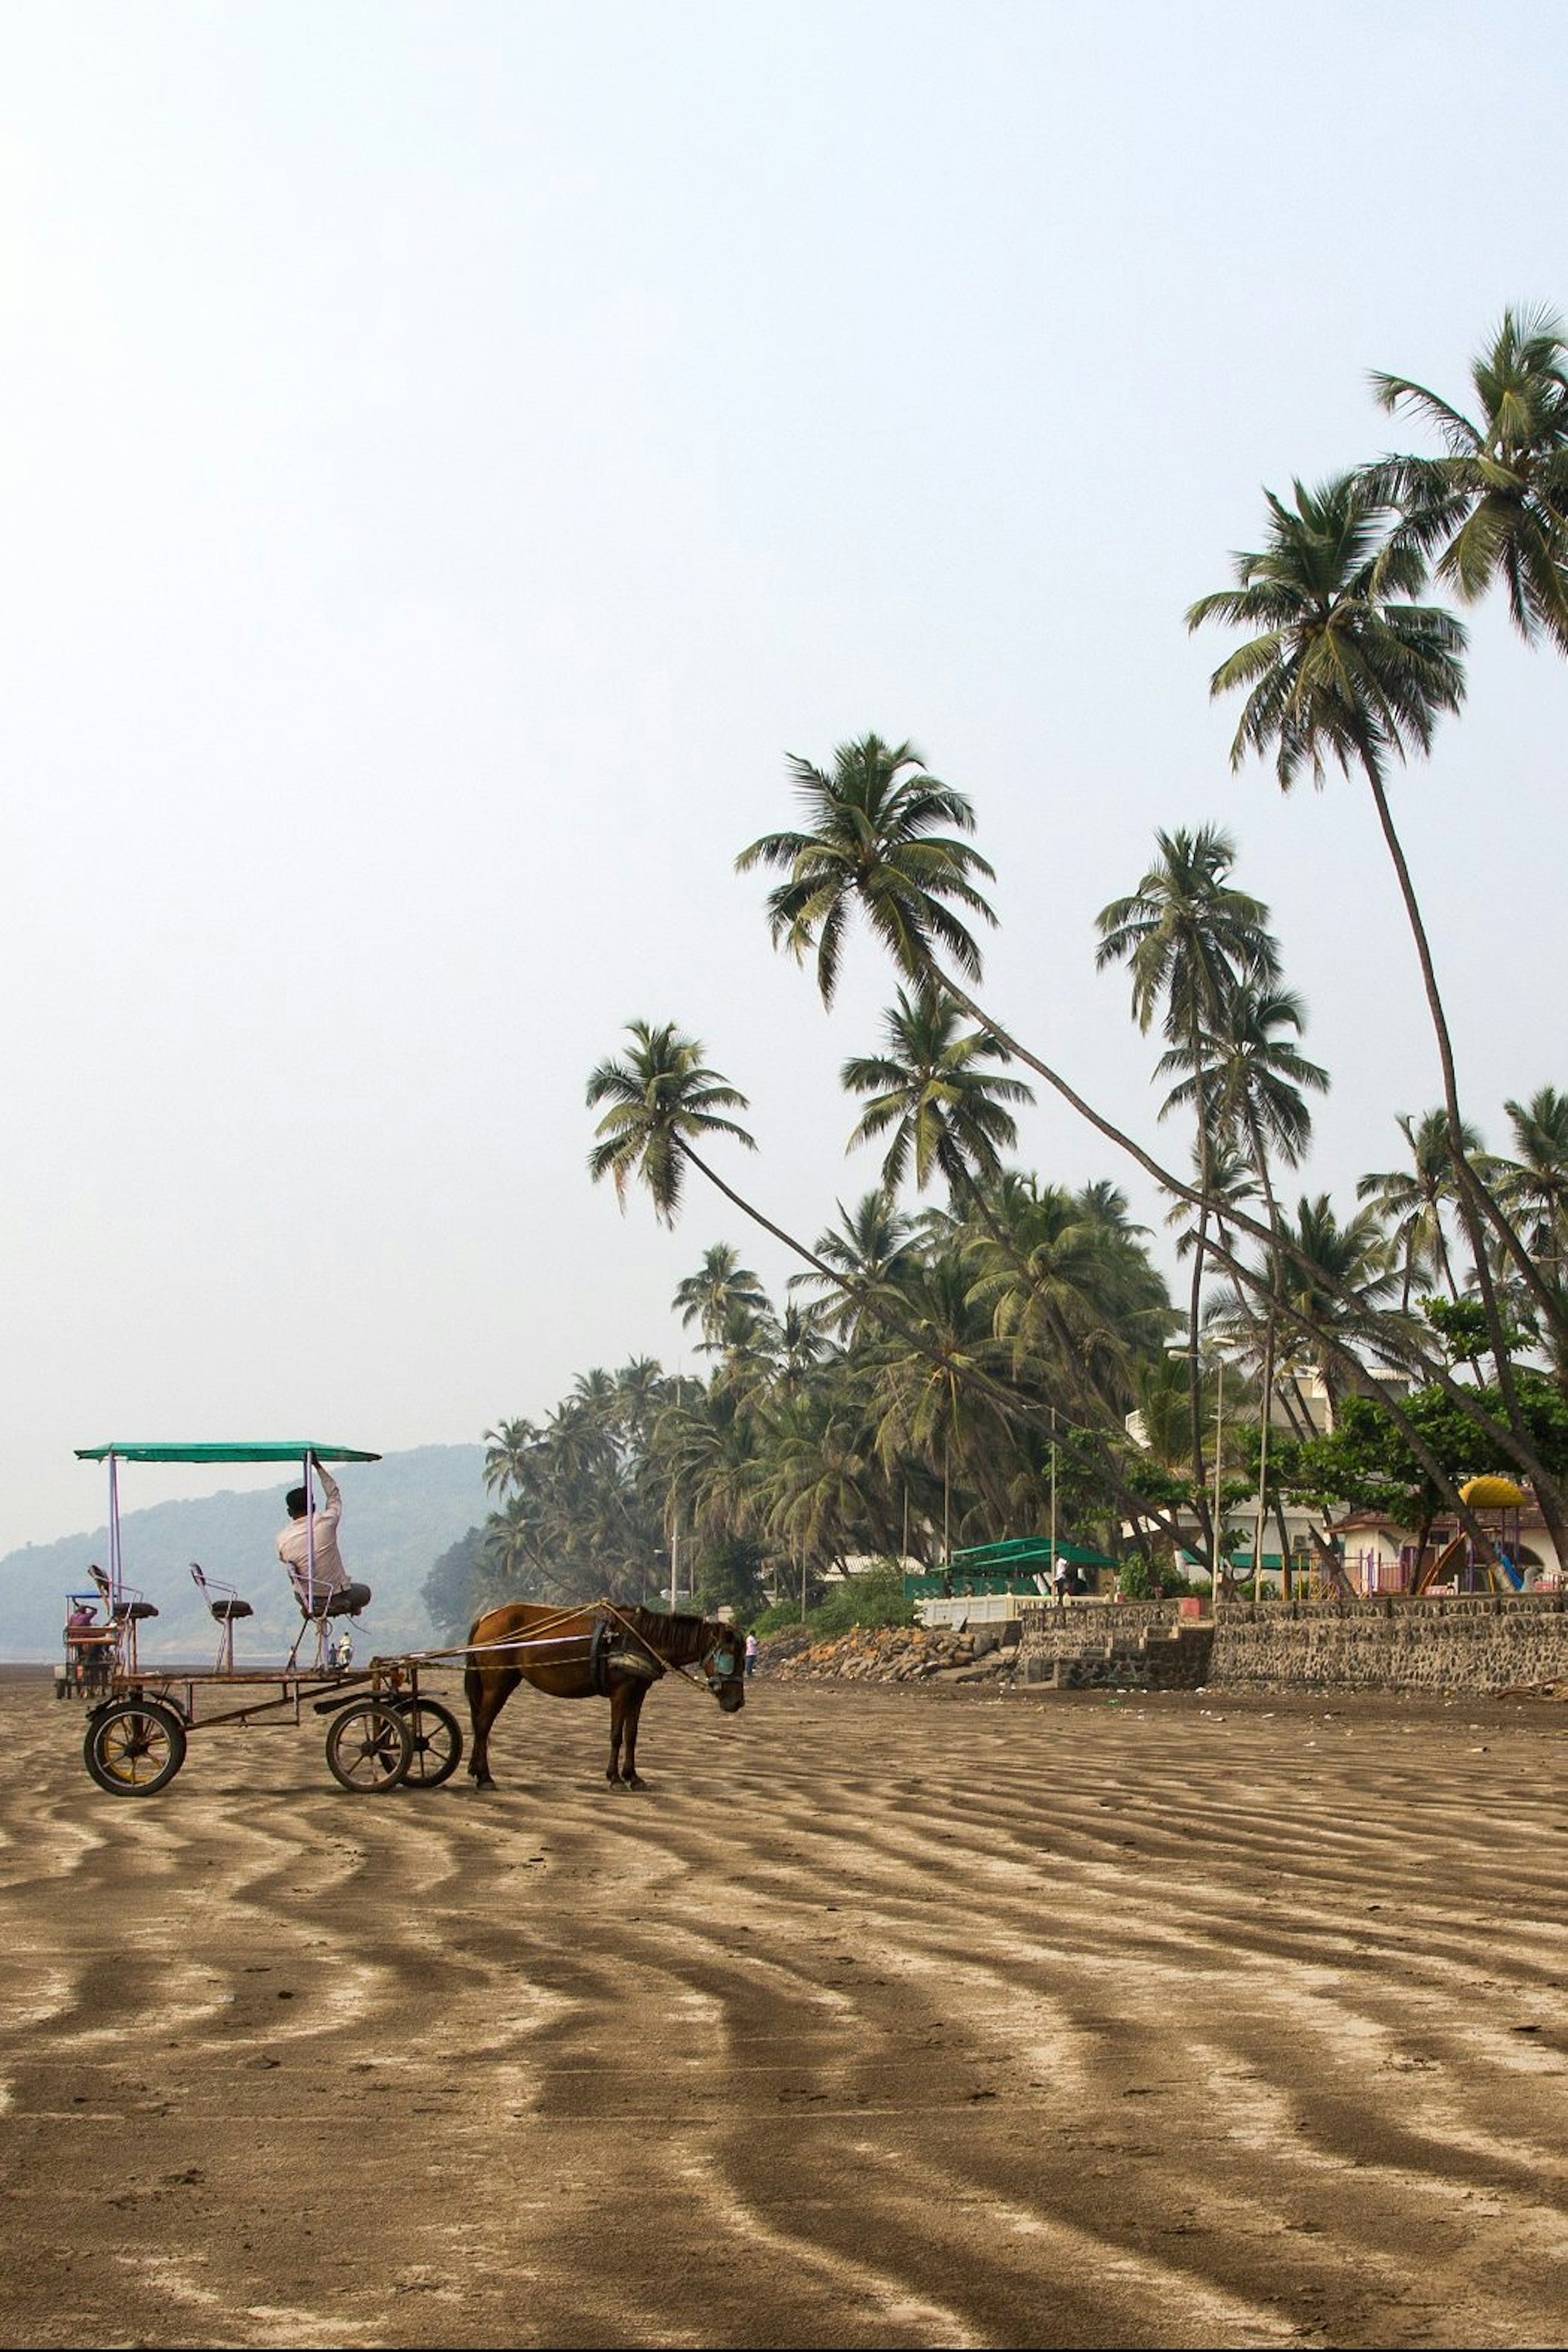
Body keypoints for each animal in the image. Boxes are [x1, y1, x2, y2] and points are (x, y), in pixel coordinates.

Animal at [463, 1608, 747, 1787]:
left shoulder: (638, 1693)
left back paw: (478, 1771)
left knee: (481, 1723)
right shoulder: (621, 1692)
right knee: (483, 1725)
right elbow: (616, 1735)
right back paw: (485, 1777)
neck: (642, 1639)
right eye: (730, 1656)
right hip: (498, 1683)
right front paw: (615, 1778)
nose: (738, 1703)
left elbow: (632, 1736)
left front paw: (633, 1777)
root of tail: (485, 1619)